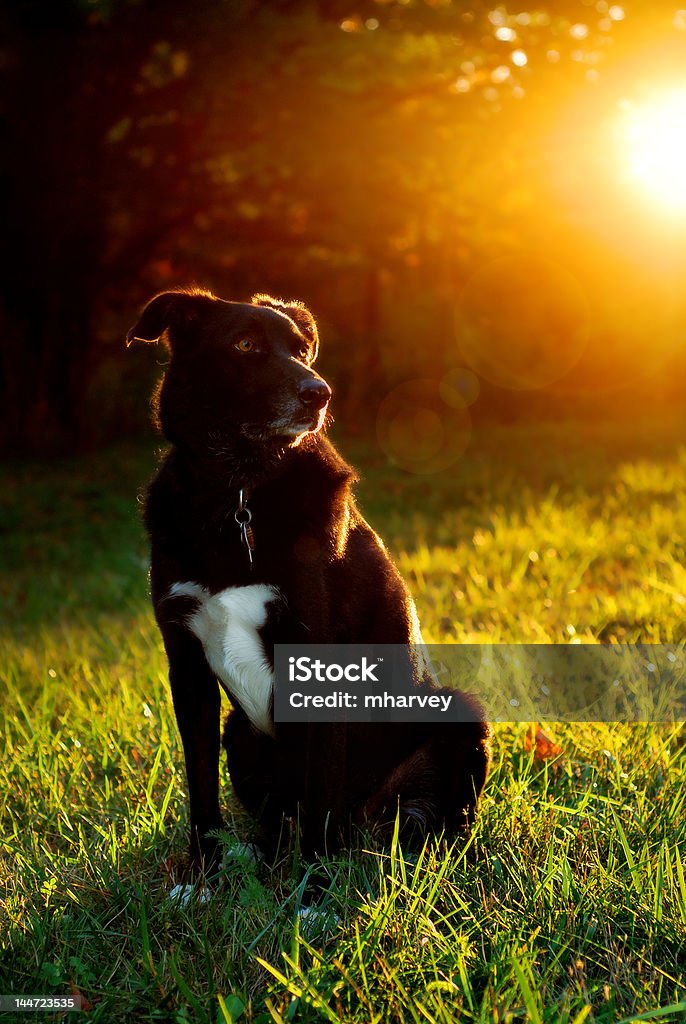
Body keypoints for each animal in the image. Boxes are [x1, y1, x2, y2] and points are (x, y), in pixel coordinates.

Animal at [127, 288, 495, 872]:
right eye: (245, 345)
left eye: (302, 350)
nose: (319, 394)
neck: (239, 489)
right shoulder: (186, 666)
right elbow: (201, 791)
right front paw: (201, 875)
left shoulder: (318, 661)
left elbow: (320, 799)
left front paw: (315, 885)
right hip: (241, 733)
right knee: (281, 820)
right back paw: (262, 852)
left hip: (459, 717)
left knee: (412, 818)